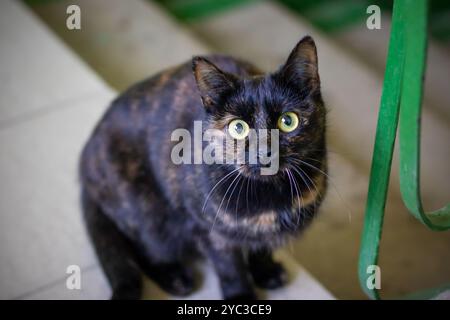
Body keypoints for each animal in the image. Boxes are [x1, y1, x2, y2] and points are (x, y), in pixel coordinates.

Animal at [80, 35, 326, 300]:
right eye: (238, 127)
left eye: (288, 121)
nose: (265, 152)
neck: (267, 197)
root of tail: (84, 158)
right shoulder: (212, 232)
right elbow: (230, 269)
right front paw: (241, 297)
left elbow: (262, 246)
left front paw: (266, 272)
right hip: (148, 212)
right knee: (144, 249)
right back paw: (175, 278)